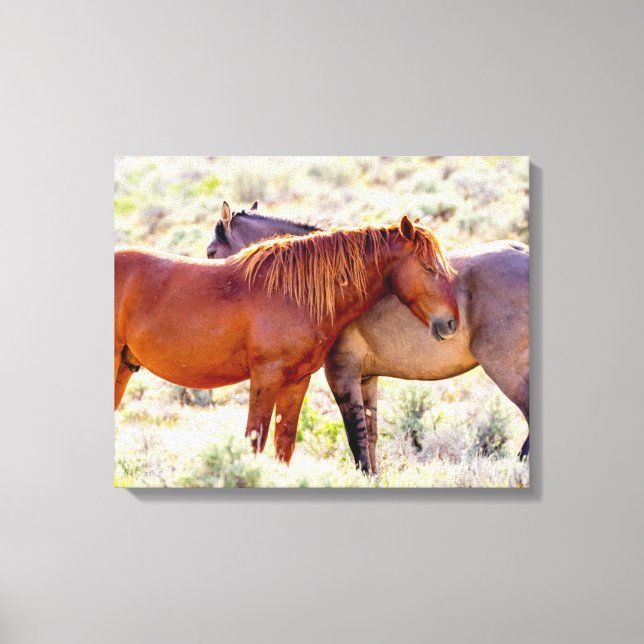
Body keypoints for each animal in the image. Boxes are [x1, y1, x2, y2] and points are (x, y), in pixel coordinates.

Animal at [115, 215, 459, 470]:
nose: (451, 322)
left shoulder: (297, 381)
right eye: (429, 267)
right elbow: (255, 440)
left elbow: (284, 445)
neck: (293, 292)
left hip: (123, 368)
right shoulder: (266, 377)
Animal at [206, 202, 529, 472]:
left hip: (506, 370)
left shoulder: (342, 374)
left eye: (211, 252)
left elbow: (356, 438)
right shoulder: (367, 378)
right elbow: (371, 437)